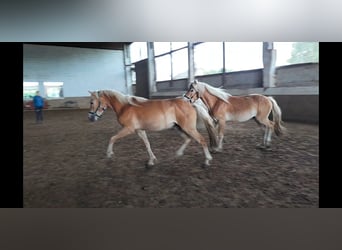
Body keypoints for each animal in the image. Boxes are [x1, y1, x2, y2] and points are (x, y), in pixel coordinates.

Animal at [87, 90, 218, 168]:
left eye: (92, 102)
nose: (90, 118)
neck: (124, 107)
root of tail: (190, 103)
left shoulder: (128, 129)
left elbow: (112, 138)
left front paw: (109, 154)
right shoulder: (139, 130)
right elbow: (147, 144)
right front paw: (151, 160)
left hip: (188, 128)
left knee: (201, 140)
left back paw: (207, 160)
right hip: (178, 127)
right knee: (188, 139)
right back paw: (178, 154)